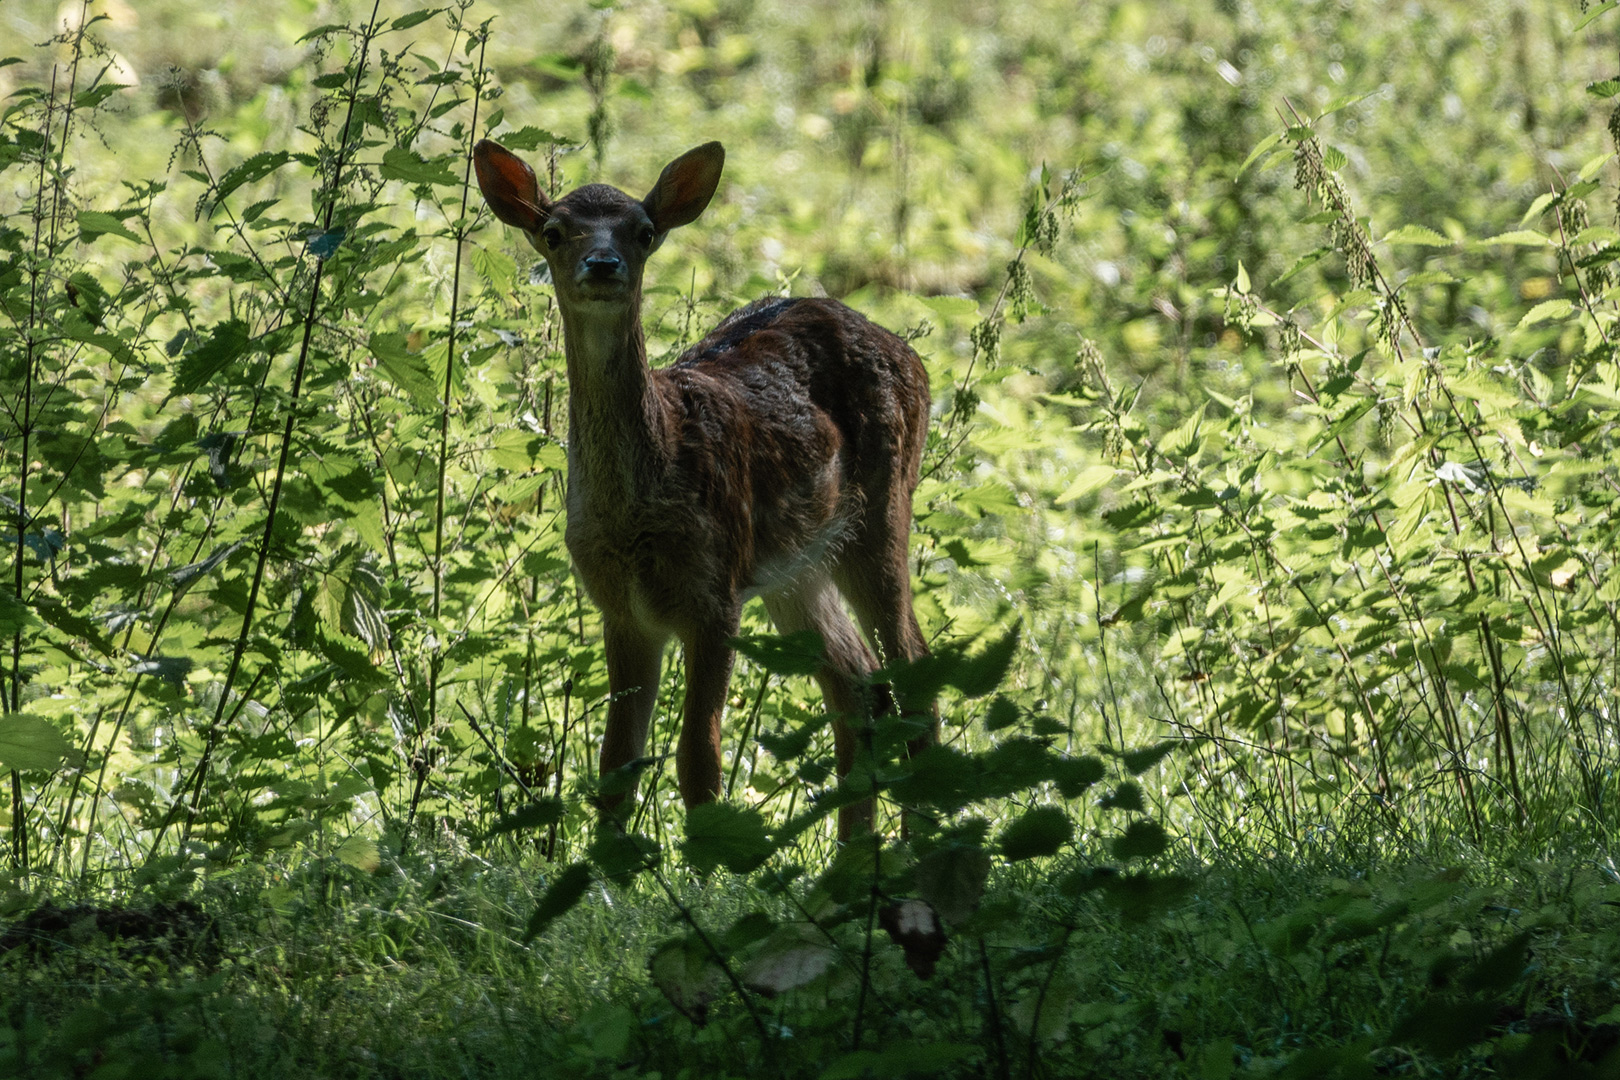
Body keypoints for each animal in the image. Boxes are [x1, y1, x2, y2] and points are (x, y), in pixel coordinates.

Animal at [473, 139, 939, 841]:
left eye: (643, 231)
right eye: (553, 232)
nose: (603, 264)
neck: (641, 503)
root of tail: (912, 357)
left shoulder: (714, 592)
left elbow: (699, 758)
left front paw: (709, 858)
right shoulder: (620, 608)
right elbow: (615, 764)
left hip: (882, 511)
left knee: (915, 673)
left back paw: (921, 843)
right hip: (796, 566)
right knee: (860, 683)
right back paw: (857, 849)